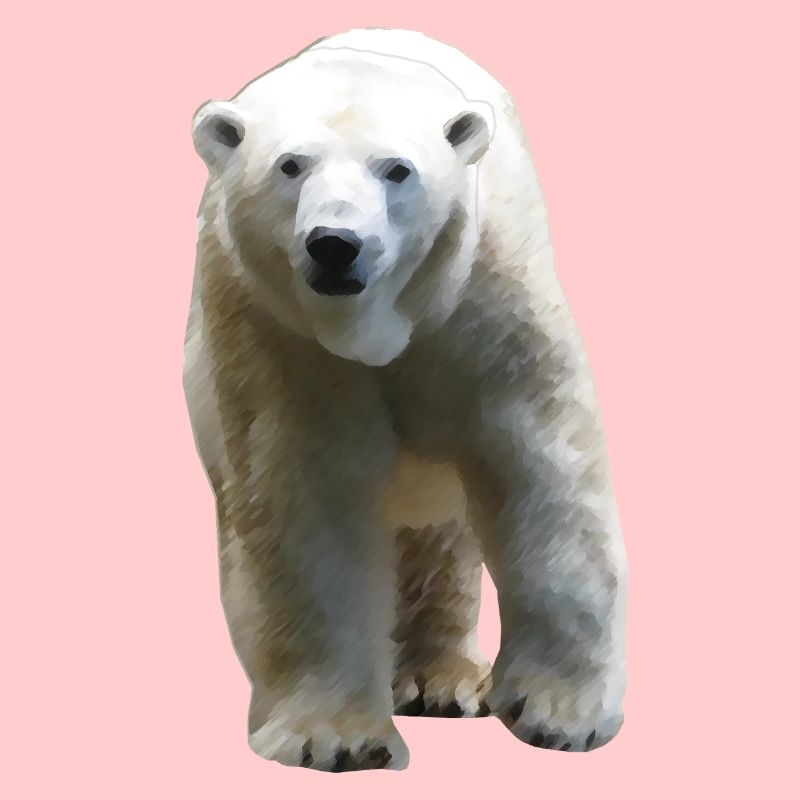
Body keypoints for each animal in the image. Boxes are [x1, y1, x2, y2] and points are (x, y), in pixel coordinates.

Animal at [184, 28, 627, 772]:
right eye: (290, 165)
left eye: (397, 170)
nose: (335, 245)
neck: (376, 326)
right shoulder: (274, 334)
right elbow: (302, 500)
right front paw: (336, 736)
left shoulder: (486, 301)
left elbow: (541, 469)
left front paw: (561, 714)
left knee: (443, 536)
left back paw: (441, 681)